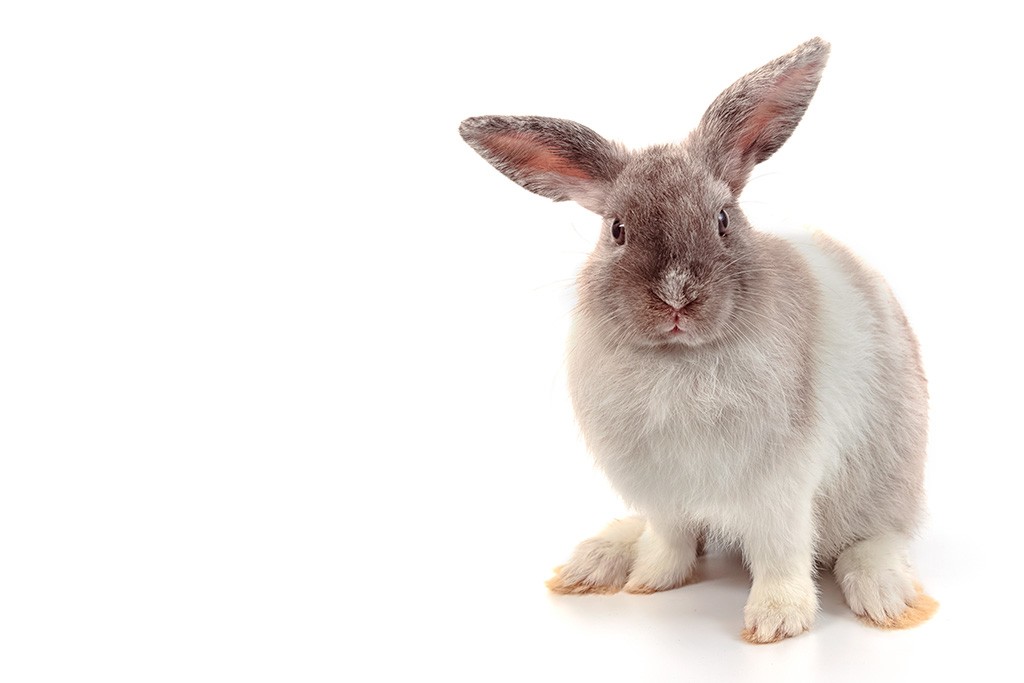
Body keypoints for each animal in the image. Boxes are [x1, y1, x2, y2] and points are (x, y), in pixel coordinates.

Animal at [458, 36, 937, 647]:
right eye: (617, 230)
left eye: (723, 219)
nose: (676, 297)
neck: (680, 360)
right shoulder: (663, 490)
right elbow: (670, 540)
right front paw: (651, 580)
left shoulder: (781, 490)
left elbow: (782, 554)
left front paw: (776, 621)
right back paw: (596, 561)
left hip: (884, 486)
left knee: (873, 540)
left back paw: (885, 598)